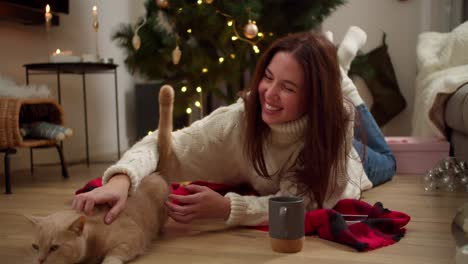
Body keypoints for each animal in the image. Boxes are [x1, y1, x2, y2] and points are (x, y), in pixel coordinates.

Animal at [26, 85, 176, 264]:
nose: (40, 260)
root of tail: (155, 173)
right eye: (35, 247)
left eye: (54, 247)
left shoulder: (131, 238)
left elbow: (112, 257)